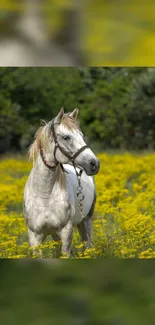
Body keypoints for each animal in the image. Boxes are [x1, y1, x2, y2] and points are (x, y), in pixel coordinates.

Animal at [23, 107, 100, 256]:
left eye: (81, 135)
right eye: (66, 137)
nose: (94, 164)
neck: (45, 195)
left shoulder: (66, 232)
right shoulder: (35, 237)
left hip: (85, 221)